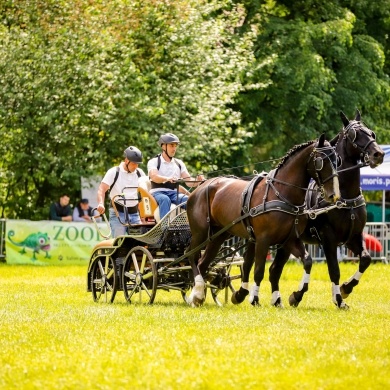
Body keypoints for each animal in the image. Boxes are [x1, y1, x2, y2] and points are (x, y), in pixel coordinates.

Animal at [186, 134, 338, 308]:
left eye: (337, 160)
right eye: (321, 161)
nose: (333, 195)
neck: (281, 193)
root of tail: (200, 187)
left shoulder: (290, 240)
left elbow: (307, 261)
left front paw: (295, 296)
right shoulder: (263, 240)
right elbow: (258, 270)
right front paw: (254, 298)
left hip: (218, 236)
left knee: (203, 263)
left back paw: (197, 295)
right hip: (200, 233)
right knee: (191, 256)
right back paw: (197, 291)